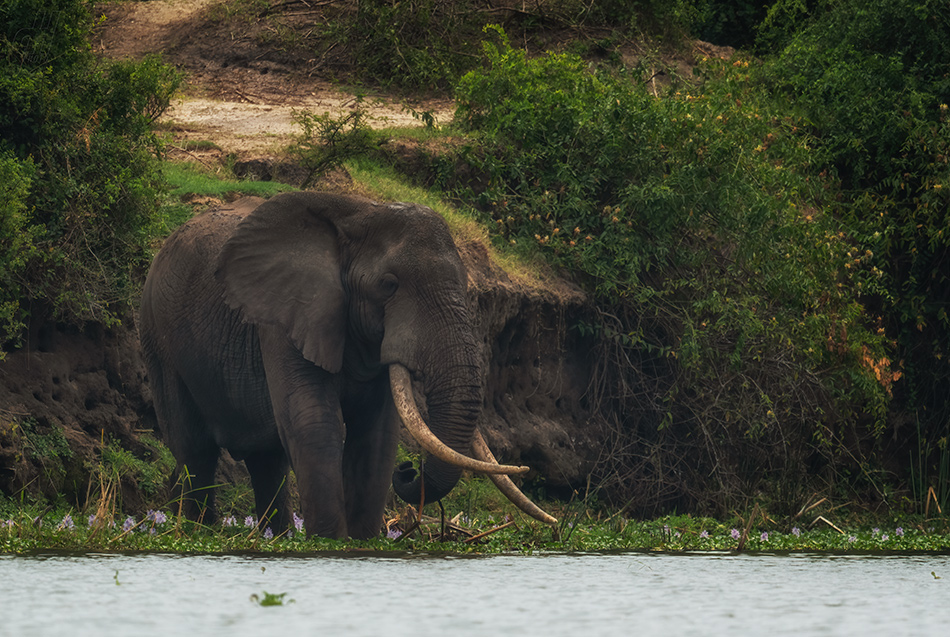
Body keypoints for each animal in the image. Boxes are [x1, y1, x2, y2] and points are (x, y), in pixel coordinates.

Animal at [141, 193, 556, 536]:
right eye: (389, 284)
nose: (408, 470)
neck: (360, 213)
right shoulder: (287, 317)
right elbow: (313, 423)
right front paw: (330, 542)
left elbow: (376, 436)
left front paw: (362, 541)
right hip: (159, 339)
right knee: (196, 451)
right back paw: (194, 531)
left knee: (266, 461)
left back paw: (273, 537)